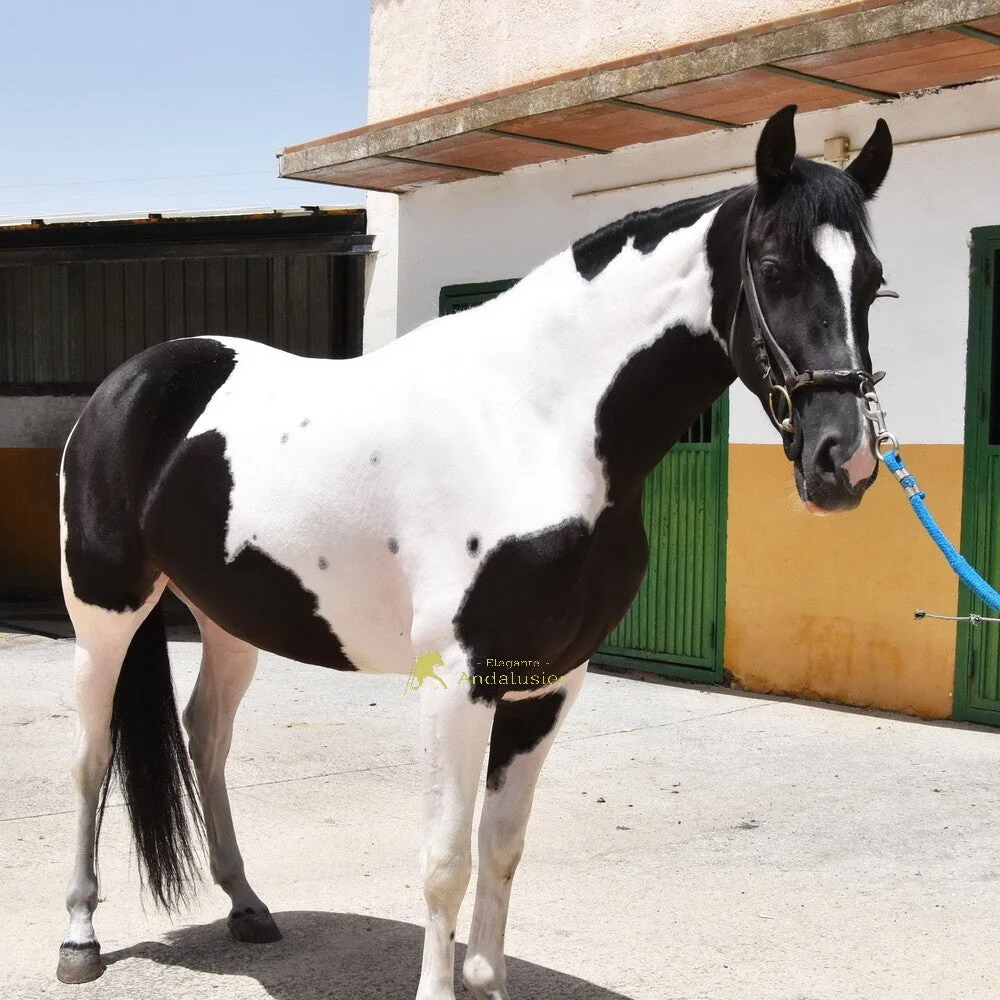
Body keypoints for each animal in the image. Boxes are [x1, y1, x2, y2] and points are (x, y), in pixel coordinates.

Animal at [55, 104, 893, 999]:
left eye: (874, 281)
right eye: (773, 269)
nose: (844, 461)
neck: (533, 423)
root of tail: (129, 383)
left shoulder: (549, 682)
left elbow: (502, 847)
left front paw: (485, 979)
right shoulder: (457, 682)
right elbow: (445, 862)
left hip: (230, 619)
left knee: (207, 737)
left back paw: (248, 905)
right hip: (104, 613)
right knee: (92, 753)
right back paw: (79, 936)